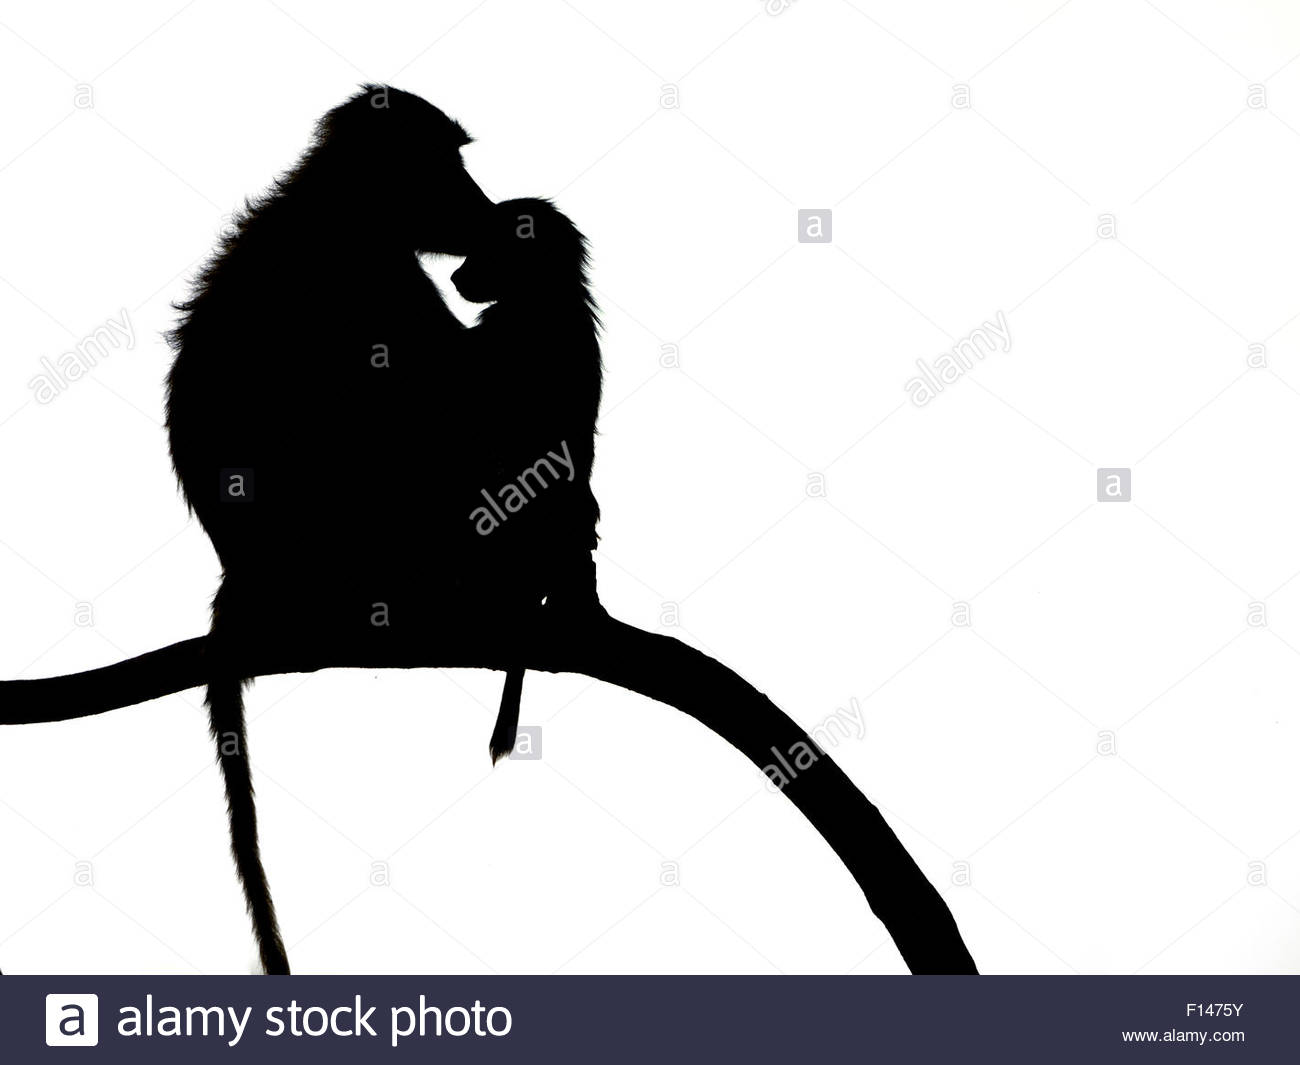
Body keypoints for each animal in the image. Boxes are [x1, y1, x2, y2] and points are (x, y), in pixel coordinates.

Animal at [165, 85, 493, 974]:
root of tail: (246, 574)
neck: (339, 206)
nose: (486, 210)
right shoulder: (377, 275)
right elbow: (448, 398)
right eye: (447, 161)